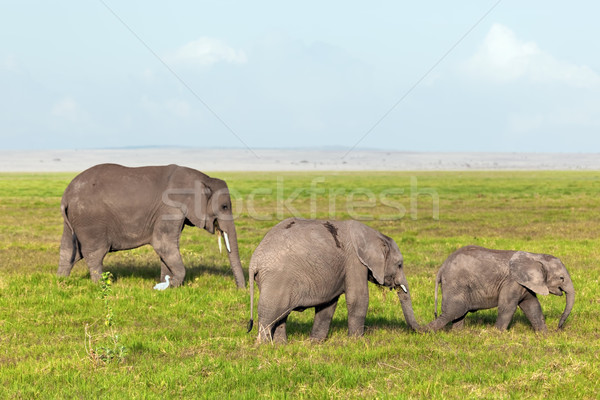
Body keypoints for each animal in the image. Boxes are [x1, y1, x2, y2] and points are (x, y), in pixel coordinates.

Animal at [56, 162, 244, 288]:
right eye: (224, 207)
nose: (240, 290)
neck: (204, 179)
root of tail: (66, 196)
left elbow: (166, 248)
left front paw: (165, 283)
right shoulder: (170, 208)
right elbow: (163, 244)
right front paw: (172, 285)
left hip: (74, 220)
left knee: (69, 250)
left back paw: (61, 280)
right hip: (90, 220)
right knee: (95, 253)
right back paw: (101, 285)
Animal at [246, 217, 420, 342]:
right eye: (399, 265)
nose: (423, 329)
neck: (374, 235)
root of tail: (255, 258)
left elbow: (328, 305)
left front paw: (315, 342)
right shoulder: (354, 262)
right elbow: (358, 298)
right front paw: (357, 342)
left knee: (281, 315)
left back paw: (281, 345)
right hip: (277, 279)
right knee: (270, 313)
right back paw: (264, 346)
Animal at [424, 245, 576, 332]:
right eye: (561, 278)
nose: (558, 329)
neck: (535, 256)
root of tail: (442, 267)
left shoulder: (525, 284)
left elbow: (532, 306)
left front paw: (544, 335)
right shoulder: (512, 281)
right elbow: (507, 306)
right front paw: (498, 335)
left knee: (458, 313)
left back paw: (458, 334)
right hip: (455, 284)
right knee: (452, 312)